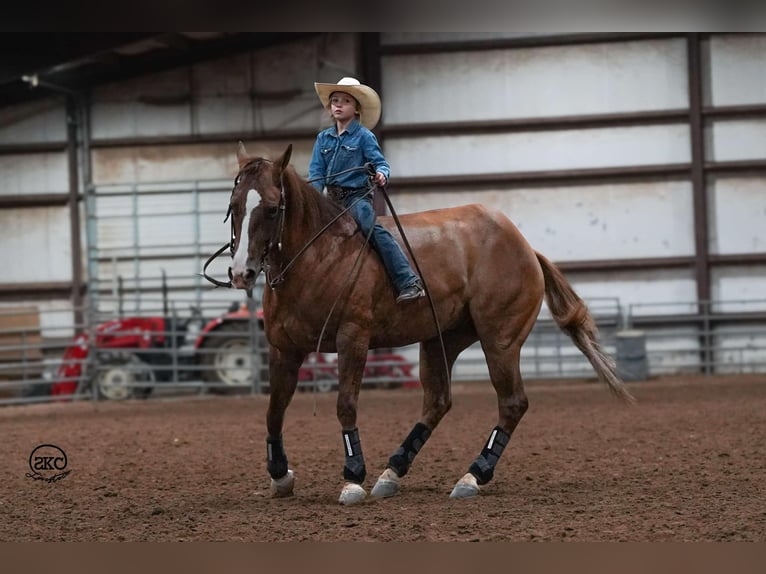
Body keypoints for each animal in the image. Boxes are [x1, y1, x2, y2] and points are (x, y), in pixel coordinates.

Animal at [222, 144, 636, 508]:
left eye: (272, 208)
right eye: (234, 206)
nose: (241, 273)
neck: (321, 256)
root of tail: (526, 249)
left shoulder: (353, 338)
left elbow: (345, 404)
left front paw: (353, 478)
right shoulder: (283, 349)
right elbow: (274, 409)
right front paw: (280, 476)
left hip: (500, 341)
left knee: (512, 403)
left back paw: (471, 476)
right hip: (441, 340)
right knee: (438, 401)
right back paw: (392, 473)